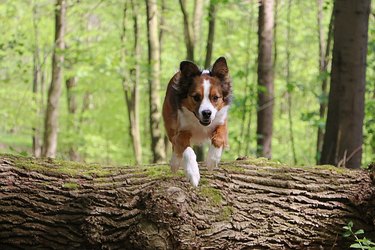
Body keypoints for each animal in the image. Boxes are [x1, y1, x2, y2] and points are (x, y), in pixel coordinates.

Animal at [164, 56, 234, 186]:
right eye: (196, 97)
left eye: (215, 98)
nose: (207, 113)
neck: (200, 124)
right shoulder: (182, 129)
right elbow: (186, 148)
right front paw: (193, 172)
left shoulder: (221, 121)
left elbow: (219, 137)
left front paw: (212, 159)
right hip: (169, 123)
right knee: (174, 142)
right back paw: (175, 162)